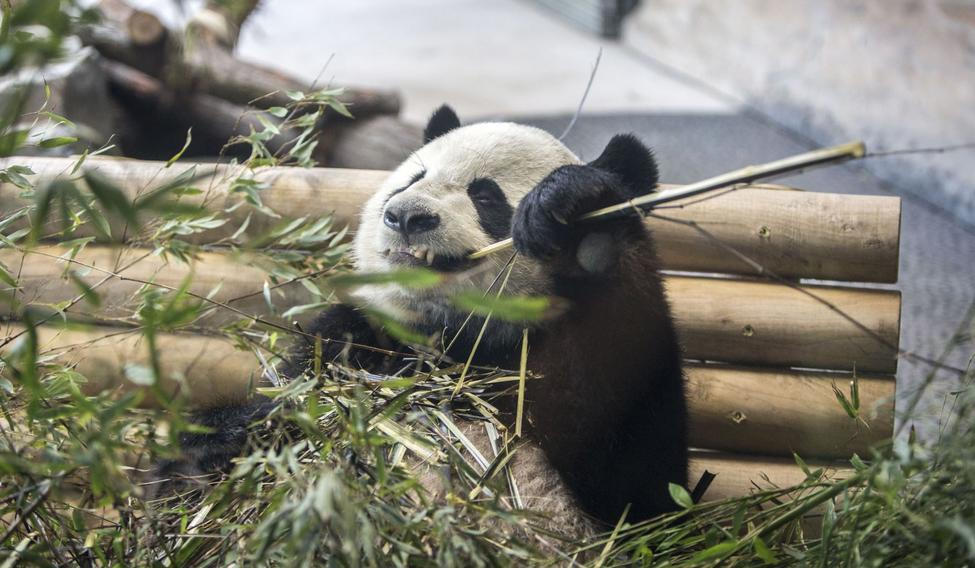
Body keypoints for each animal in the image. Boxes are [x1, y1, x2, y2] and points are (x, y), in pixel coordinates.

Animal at [155, 105, 688, 533]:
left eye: (486, 196)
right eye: (412, 179)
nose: (407, 216)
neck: (450, 335)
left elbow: (637, 479)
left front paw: (567, 206)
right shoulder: (355, 336)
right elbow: (231, 435)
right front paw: (236, 437)